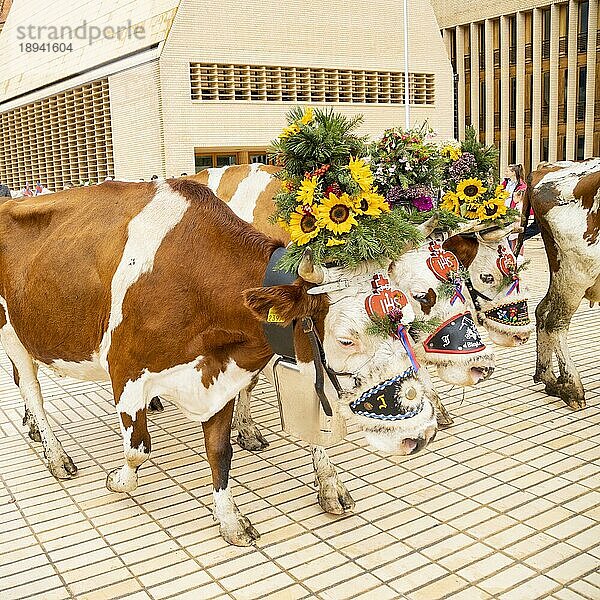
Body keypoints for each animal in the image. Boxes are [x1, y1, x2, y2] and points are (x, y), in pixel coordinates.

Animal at [0, 178, 434, 544]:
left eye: (406, 321)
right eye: (346, 339)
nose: (420, 435)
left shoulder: (224, 375)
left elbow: (220, 453)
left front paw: (229, 519)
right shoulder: (125, 370)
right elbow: (138, 448)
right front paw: (117, 481)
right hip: (12, 332)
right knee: (32, 389)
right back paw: (55, 453)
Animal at [516, 159, 600, 410]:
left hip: (562, 272)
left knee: (542, 311)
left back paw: (550, 379)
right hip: (576, 273)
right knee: (556, 321)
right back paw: (572, 388)